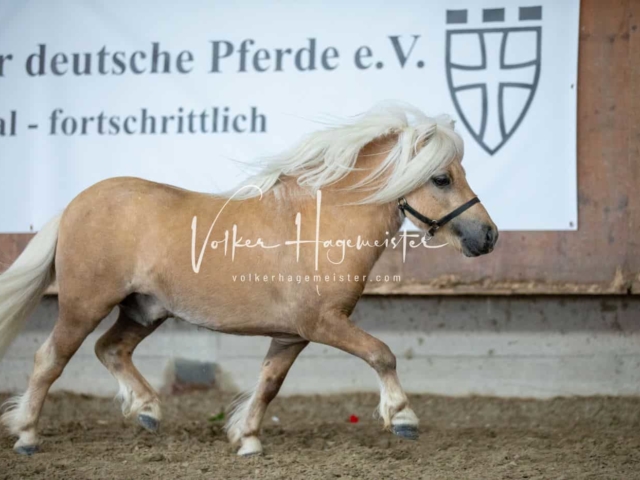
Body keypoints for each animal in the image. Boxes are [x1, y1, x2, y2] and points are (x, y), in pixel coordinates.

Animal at [0, 103, 496, 456]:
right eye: (441, 178)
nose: (487, 236)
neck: (322, 224)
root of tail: (74, 205)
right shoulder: (323, 323)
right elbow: (382, 354)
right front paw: (403, 418)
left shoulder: (293, 334)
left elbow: (269, 383)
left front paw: (248, 439)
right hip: (84, 305)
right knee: (50, 359)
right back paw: (26, 436)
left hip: (145, 309)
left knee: (110, 349)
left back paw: (148, 411)